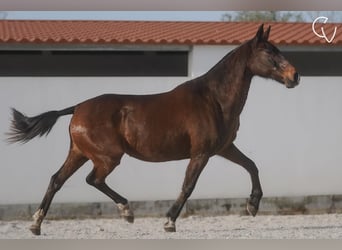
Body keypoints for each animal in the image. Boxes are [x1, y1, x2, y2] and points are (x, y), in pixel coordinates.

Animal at [6, 24, 300, 235]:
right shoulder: (201, 153)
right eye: (270, 52)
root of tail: (77, 107)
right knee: (93, 179)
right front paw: (169, 221)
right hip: (107, 156)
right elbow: (188, 186)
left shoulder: (224, 148)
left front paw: (253, 205)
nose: (294, 76)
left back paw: (36, 225)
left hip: (79, 152)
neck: (213, 99)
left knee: (56, 180)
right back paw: (127, 212)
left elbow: (252, 166)